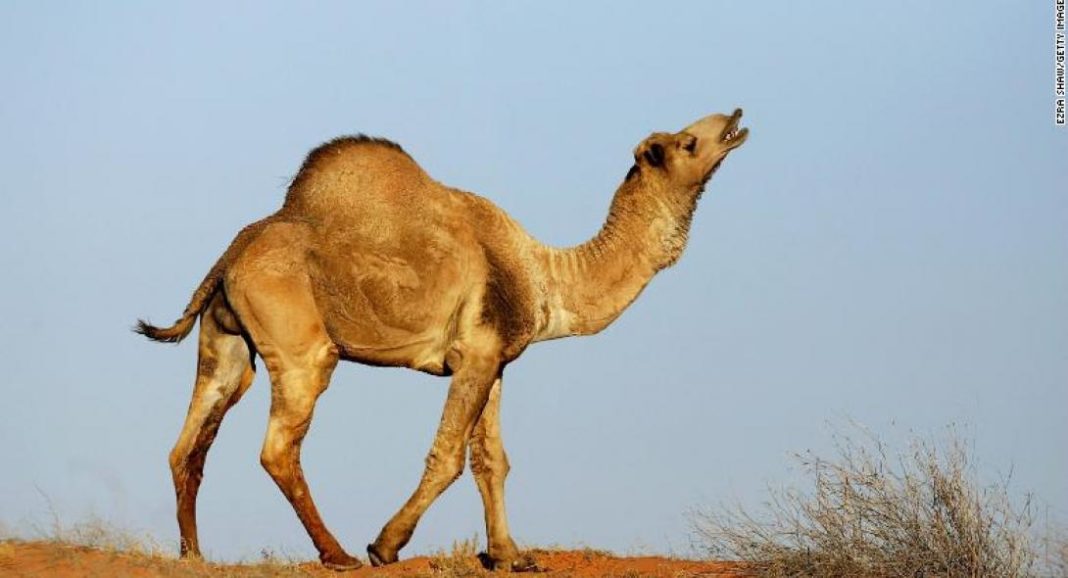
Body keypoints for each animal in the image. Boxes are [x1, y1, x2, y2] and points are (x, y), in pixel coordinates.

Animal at [135, 109, 749, 571]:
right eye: (687, 141)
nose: (735, 118)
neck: (545, 276)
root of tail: (232, 254)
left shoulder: (494, 359)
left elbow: (492, 461)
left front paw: (509, 555)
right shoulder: (476, 353)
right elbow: (448, 456)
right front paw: (385, 545)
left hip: (225, 342)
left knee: (189, 442)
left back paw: (193, 555)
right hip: (302, 347)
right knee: (278, 447)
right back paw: (338, 554)